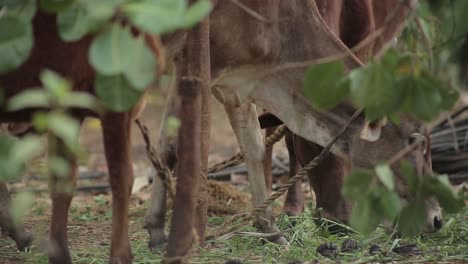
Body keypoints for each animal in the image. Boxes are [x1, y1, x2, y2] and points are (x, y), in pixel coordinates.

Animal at [144, 0, 440, 250]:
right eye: (416, 146)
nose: (437, 219)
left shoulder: (239, 81)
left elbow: (254, 146)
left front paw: (270, 228)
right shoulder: (190, 63)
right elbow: (168, 145)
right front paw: (159, 231)